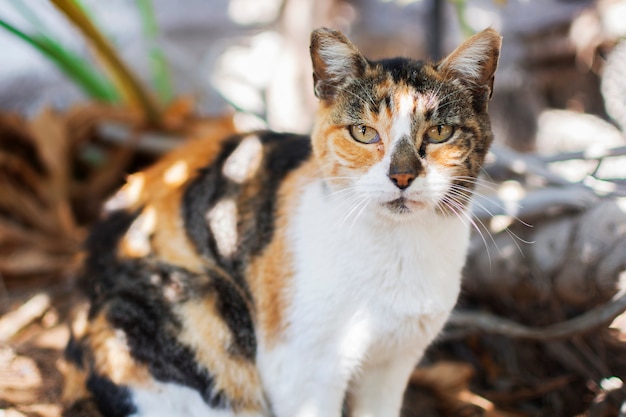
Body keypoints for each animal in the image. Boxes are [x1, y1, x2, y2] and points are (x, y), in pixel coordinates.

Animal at [61, 26, 500, 416]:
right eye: (363, 132)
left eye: (440, 131)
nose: (403, 176)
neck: (399, 248)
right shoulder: (302, 370)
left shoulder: (392, 364)